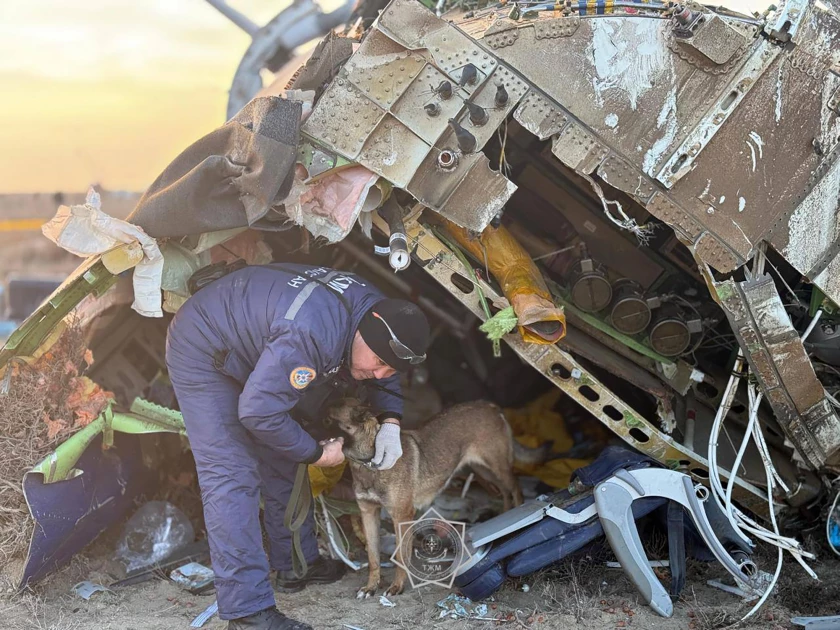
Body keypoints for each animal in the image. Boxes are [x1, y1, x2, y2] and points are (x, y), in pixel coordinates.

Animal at [324, 400, 520, 604]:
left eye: (327, 420)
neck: (369, 461)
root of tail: (489, 405)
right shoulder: (368, 513)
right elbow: (373, 557)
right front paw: (371, 587)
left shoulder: (402, 516)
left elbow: (401, 556)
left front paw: (397, 587)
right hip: (483, 470)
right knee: (504, 492)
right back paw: (506, 513)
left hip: (497, 467)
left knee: (515, 487)